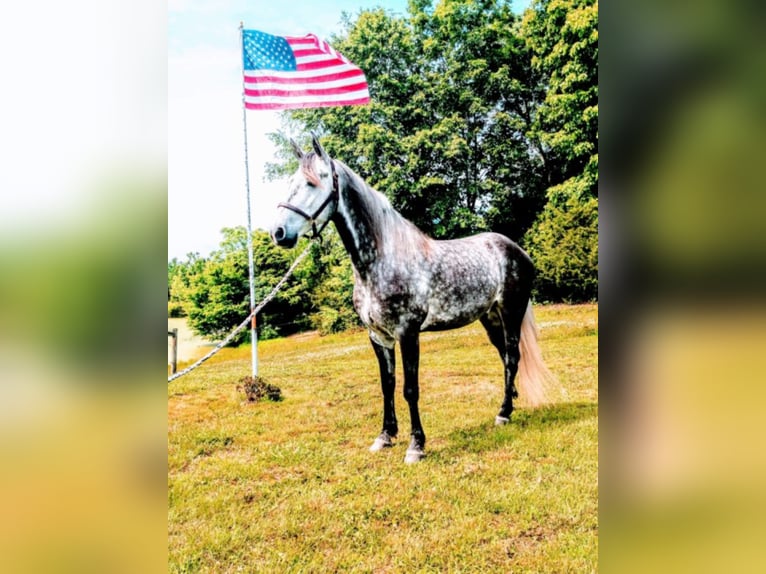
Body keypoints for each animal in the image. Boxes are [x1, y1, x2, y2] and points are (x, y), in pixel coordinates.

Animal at [272, 137, 560, 466]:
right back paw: (510, 402)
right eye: (290, 183)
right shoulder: (378, 337)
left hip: (511, 312)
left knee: (512, 356)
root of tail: (516, 250)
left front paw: (416, 446)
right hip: (490, 318)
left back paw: (503, 414)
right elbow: (387, 385)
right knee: (505, 357)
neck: (382, 260)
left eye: (311, 183)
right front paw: (385, 436)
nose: (278, 233)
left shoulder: (407, 332)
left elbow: (410, 389)